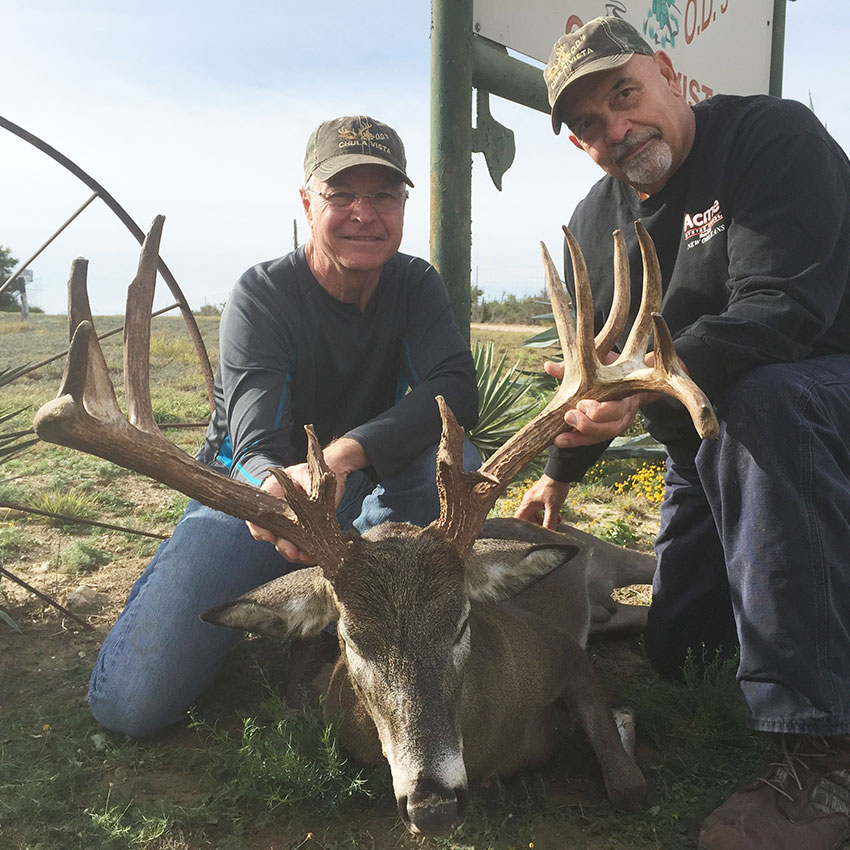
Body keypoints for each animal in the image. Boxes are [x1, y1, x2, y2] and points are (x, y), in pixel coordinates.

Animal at [33, 214, 718, 837]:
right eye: (351, 639)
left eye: (462, 621)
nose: (434, 805)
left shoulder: (567, 659)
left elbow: (628, 786)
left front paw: (621, 735)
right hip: (604, 609)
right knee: (636, 614)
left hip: (600, 550)